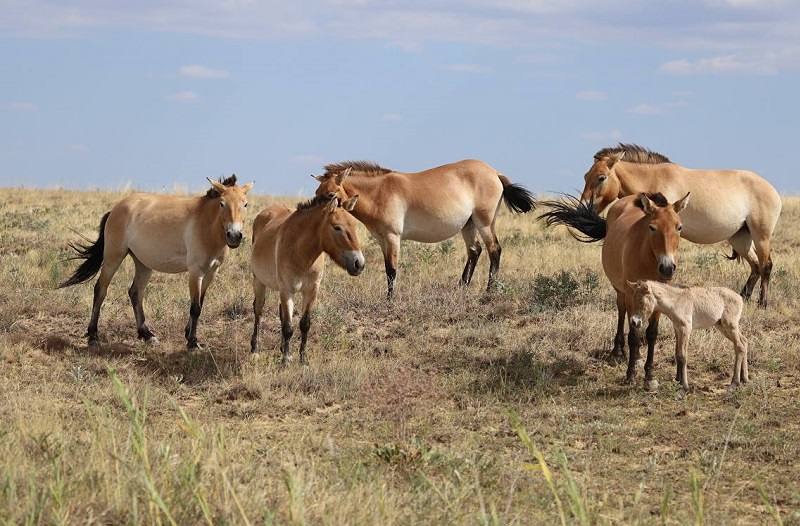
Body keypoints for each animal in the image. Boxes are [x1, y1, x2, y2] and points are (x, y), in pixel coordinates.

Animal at [59, 175, 253, 349]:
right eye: (222, 203)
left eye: (245, 204)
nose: (234, 236)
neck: (206, 224)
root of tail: (115, 209)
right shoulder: (195, 271)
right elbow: (195, 307)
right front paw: (192, 342)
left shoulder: (211, 272)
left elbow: (199, 303)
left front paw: (188, 334)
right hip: (113, 257)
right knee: (100, 290)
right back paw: (93, 337)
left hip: (143, 264)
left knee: (135, 292)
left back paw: (147, 335)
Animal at [250, 193, 364, 364]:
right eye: (337, 227)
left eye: (355, 226)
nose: (359, 264)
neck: (302, 253)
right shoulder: (287, 290)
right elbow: (288, 327)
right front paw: (285, 361)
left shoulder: (311, 291)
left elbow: (304, 324)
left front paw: (302, 359)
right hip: (259, 282)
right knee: (258, 310)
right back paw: (255, 348)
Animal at [312, 159, 536, 298]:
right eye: (317, 193)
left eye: (331, 194)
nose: (316, 218)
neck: (379, 193)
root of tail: (495, 173)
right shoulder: (382, 239)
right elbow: (387, 269)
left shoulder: (393, 237)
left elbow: (391, 270)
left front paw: (390, 300)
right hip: (469, 225)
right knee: (475, 251)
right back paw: (461, 287)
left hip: (485, 223)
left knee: (494, 250)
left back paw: (489, 291)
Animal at [540, 192, 690, 389]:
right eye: (652, 227)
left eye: (679, 227)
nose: (667, 268)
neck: (648, 258)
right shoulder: (631, 294)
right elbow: (633, 335)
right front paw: (631, 374)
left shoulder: (659, 299)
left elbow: (651, 334)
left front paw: (649, 376)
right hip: (621, 292)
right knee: (622, 312)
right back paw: (618, 351)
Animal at [579, 143, 781, 308]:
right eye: (585, 176)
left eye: (601, 177)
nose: (583, 208)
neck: (653, 178)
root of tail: (772, 190)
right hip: (740, 238)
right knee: (755, 266)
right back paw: (743, 297)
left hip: (761, 236)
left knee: (766, 266)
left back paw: (762, 303)